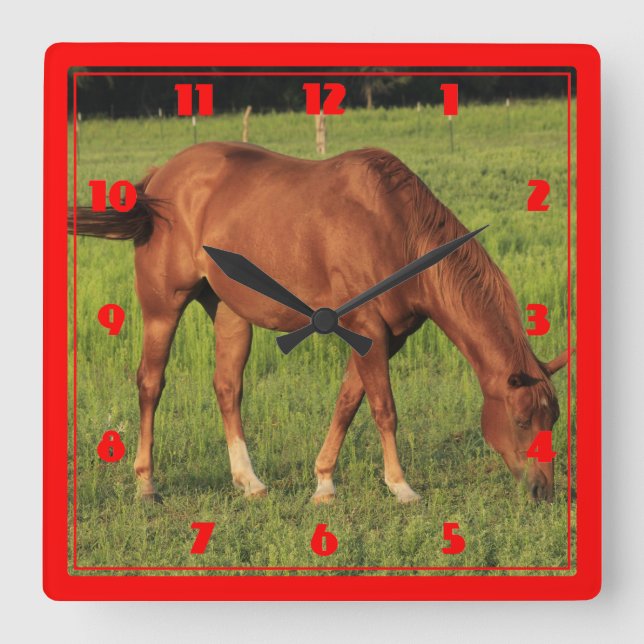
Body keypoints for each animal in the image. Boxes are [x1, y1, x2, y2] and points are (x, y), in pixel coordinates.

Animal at [69, 141, 570, 504]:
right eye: (522, 420)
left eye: (553, 419)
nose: (543, 491)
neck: (397, 229)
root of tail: (161, 177)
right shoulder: (367, 329)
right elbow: (384, 409)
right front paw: (401, 486)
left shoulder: (383, 338)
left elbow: (348, 404)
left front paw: (324, 483)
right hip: (163, 308)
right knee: (150, 384)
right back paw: (146, 484)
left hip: (230, 312)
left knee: (228, 389)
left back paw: (249, 482)